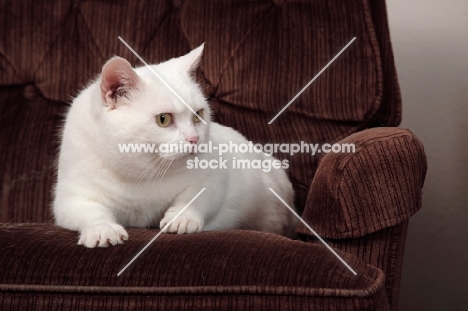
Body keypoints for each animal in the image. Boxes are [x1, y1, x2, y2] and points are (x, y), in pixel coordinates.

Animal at [54, 44, 296, 249]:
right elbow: (90, 211)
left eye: (198, 115)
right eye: (163, 119)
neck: (144, 176)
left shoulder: (213, 177)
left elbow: (195, 197)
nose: (194, 138)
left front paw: (182, 218)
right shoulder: (70, 198)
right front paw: (103, 230)